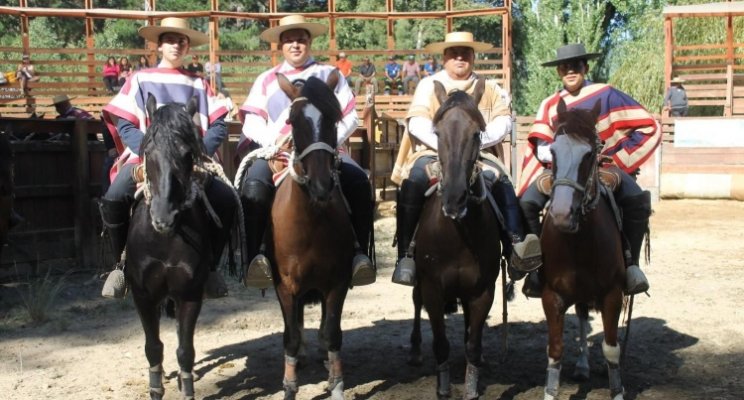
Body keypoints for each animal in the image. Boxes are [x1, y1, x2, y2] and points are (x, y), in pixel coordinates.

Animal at [126, 94, 234, 400]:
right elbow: (153, 347)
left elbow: (185, 349)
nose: (164, 217)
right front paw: (156, 386)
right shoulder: (142, 295)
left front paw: (187, 388)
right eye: (148, 152)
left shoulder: (189, 294)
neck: (164, 240)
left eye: (187, 154)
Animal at [268, 72, 354, 400]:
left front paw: (337, 383)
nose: (321, 185)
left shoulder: (337, 282)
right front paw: (290, 387)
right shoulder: (286, 286)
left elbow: (332, 334)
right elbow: (290, 337)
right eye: (293, 120)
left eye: (332, 119)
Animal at [406, 77, 500, 396]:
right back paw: (415, 349)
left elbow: (472, 342)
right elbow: (441, 344)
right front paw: (443, 387)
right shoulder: (433, 289)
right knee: (415, 301)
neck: (458, 236)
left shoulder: (483, 291)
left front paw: (471, 385)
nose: (454, 199)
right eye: (438, 132)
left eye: (477, 133)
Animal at [540, 97, 628, 400]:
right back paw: (581, 366)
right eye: (552, 152)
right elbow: (555, 352)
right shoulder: (552, 296)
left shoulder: (613, 294)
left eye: (589, 154)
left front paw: (618, 391)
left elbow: (612, 350)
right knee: (580, 315)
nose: (561, 215)